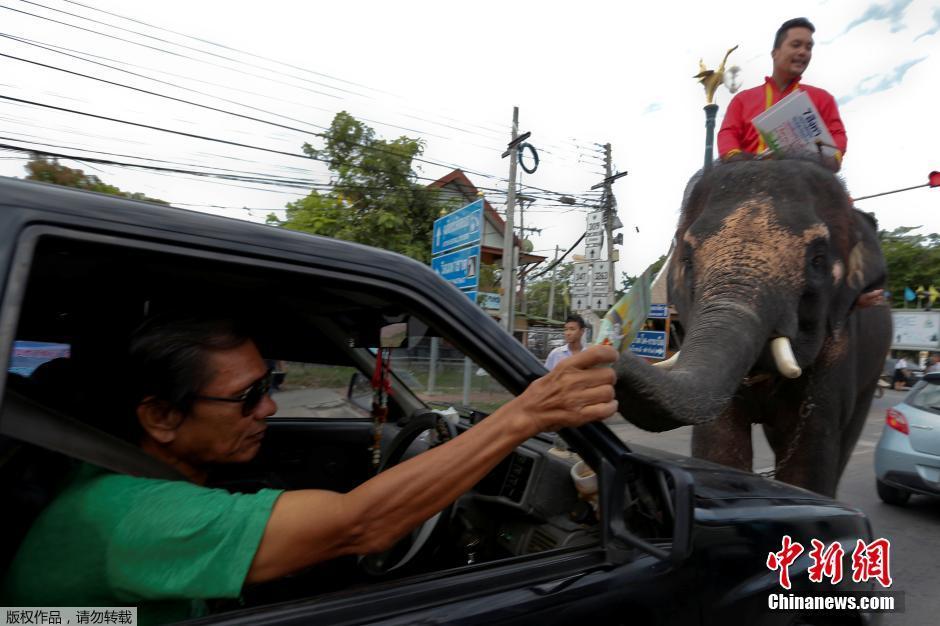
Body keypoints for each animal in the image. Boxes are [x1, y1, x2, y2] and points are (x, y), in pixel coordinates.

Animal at [612, 157, 892, 498]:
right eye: (688, 260)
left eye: (818, 260)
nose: (607, 355)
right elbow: (718, 448)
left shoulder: (838, 350)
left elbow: (808, 465)